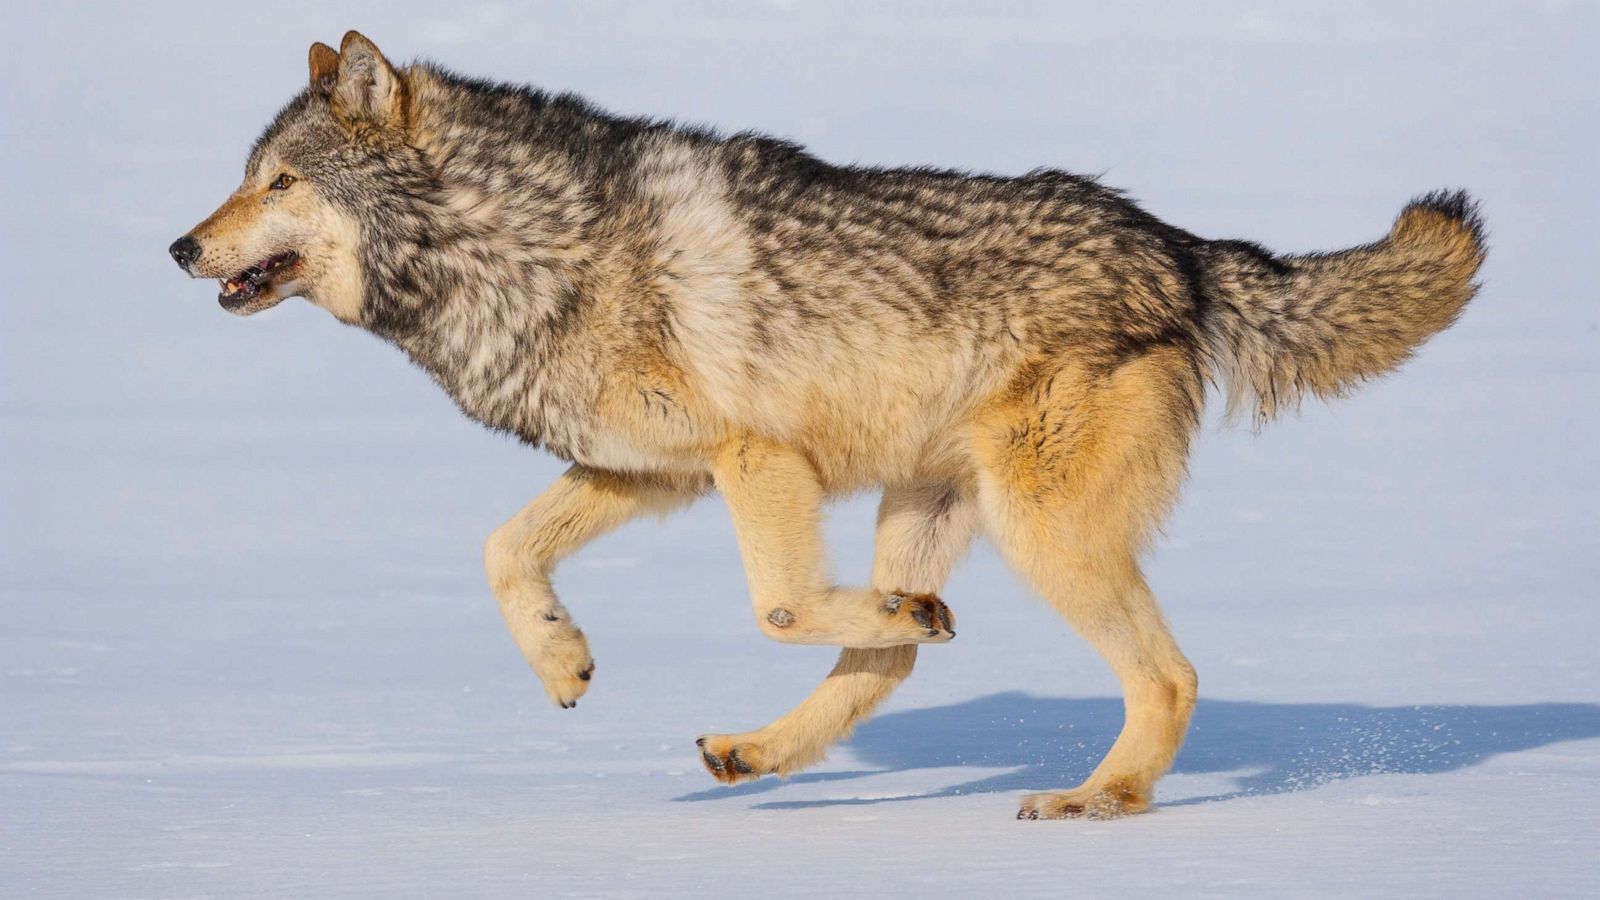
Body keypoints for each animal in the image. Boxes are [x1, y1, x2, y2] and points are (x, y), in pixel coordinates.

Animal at [168, 31, 1478, 816]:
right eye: (246, 176)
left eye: (280, 183)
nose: (179, 246)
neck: (518, 244)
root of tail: (1176, 246)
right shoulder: (646, 472)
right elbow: (500, 551)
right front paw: (560, 659)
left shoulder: (753, 456)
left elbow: (779, 605)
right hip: (935, 504)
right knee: (893, 655)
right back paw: (766, 743)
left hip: (1043, 533)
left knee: (1166, 676)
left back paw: (1091, 800)